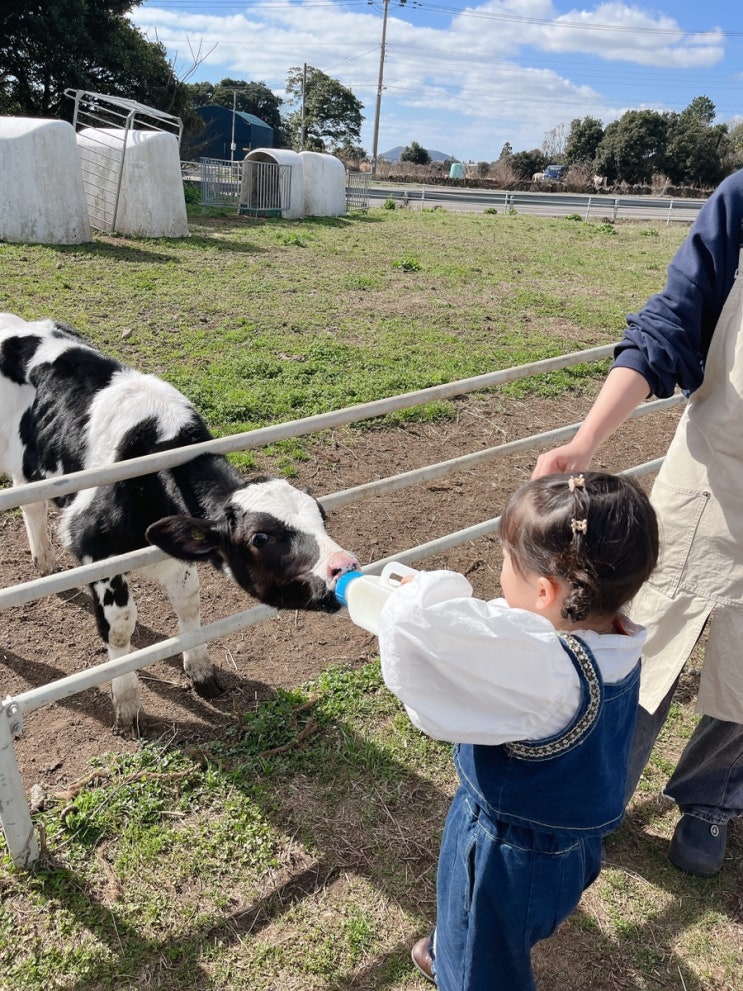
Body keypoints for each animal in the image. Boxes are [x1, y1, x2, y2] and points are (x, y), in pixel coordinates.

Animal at [0, 314, 360, 732]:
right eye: (260, 537)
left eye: (321, 515)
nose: (345, 566)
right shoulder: (93, 546)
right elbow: (119, 626)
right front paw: (127, 705)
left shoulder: (176, 547)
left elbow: (188, 603)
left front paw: (201, 671)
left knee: (29, 502)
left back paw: (44, 563)